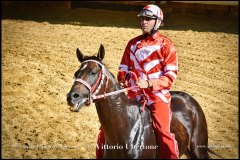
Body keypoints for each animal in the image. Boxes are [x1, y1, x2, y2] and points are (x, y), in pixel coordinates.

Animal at [66, 44, 223, 159]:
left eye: (94, 72)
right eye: (76, 73)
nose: (72, 96)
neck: (125, 129)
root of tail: (190, 100)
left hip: (199, 150)